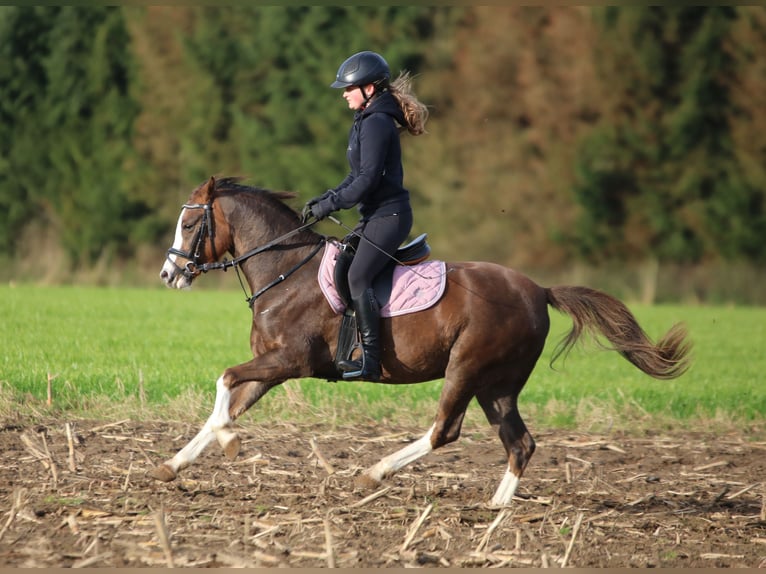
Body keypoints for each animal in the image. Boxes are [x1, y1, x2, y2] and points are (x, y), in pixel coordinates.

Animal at [154, 176, 691, 506]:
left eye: (189, 222)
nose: (167, 275)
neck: (287, 270)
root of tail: (538, 290)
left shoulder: (290, 361)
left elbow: (225, 381)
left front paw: (228, 443)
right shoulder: (270, 365)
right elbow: (227, 402)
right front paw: (176, 463)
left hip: (466, 371)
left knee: (444, 431)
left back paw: (374, 473)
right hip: (497, 385)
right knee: (520, 443)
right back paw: (496, 509)